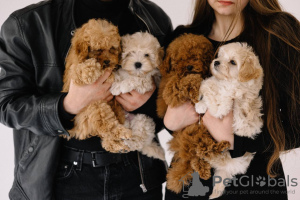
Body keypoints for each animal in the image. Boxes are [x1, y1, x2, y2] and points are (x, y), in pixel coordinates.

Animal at [62, 19, 132, 153]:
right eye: (98, 50)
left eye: (112, 48)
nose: (107, 61)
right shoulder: (74, 72)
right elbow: (84, 67)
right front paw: (90, 72)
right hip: (96, 106)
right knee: (106, 127)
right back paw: (120, 138)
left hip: (115, 110)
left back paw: (120, 142)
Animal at [110, 31, 165, 161]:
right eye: (131, 53)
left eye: (147, 55)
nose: (138, 64)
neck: (133, 73)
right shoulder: (122, 72)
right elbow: (118, 75)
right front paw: (115, 82)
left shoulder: (146, 83)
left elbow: (134, 81)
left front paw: (118, 87)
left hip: (143, 120)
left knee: (138, 142)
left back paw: (130, 142)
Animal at [156, 34, 231, 194]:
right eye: (179, 60)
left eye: (196, 56)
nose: (189, 67)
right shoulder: (170, 91)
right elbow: (185, 80)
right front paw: (195, 86)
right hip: (195, 133)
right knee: (201, 153)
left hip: (201, 132)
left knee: (202, 154)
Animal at [195, 42, 262, 198]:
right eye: (220, 56)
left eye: (232, 62)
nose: (216, 62)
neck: (228, 81)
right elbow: (210, 87)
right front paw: (201, 100)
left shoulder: (226, 102)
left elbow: (214, 99)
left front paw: (203, 103)